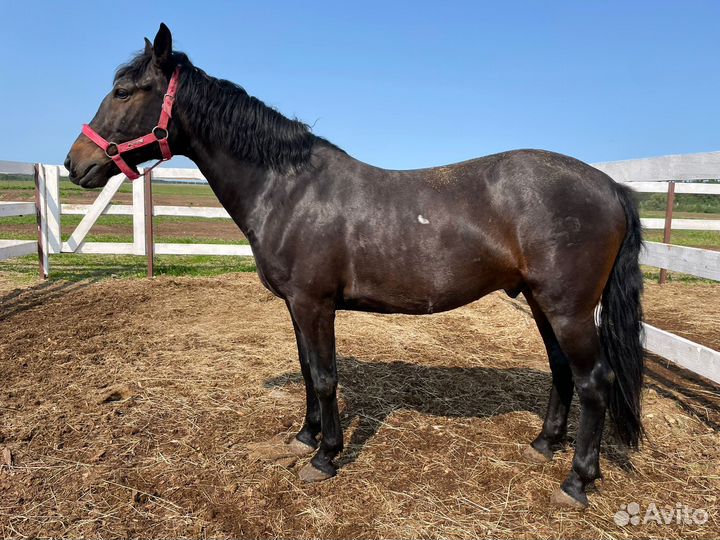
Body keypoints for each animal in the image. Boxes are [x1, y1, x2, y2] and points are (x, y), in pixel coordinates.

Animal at [65, 23, 644, 508]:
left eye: (125, 92)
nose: (75, 164)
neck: (289, 189)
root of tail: (610, 186)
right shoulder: (297, 307)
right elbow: (306, 370)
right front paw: (304, 438)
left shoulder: (314, 304)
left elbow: (324, 376)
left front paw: (325, 457)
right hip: (542, 303)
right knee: (562, 370)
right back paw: (543, 444)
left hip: (569, 309)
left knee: (596, 379)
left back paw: (576, 481)